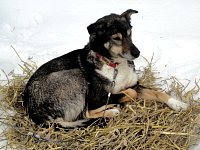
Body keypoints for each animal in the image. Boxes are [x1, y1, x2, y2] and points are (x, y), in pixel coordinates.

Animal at [22, 9, 188, 127]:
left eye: (130, 34)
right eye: (116, 38)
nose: (137, 53)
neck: (115, 64)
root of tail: (33, 110)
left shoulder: (135, 84)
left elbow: (157, 93)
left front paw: (177, 104)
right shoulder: (98, 97)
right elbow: (131, 93)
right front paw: (117, 102)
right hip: (76, 76)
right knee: (86, 113)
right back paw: (112, 110)